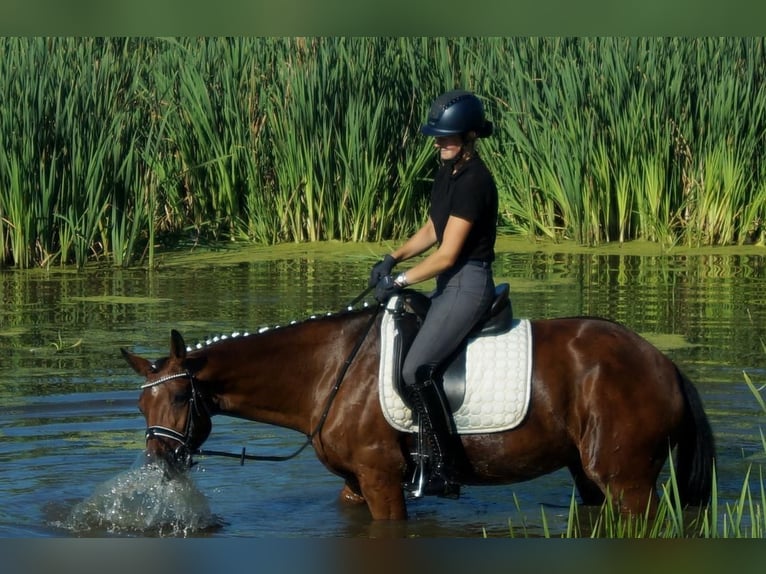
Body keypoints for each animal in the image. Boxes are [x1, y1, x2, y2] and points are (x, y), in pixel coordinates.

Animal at [120, 300, 712, 524]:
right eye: (142, 402)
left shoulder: (382, 479)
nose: (158, 464)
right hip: (589, 476)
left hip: (629, 482)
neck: (329, 370)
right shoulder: (354, 484)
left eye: (180, 399)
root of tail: (664, 363)